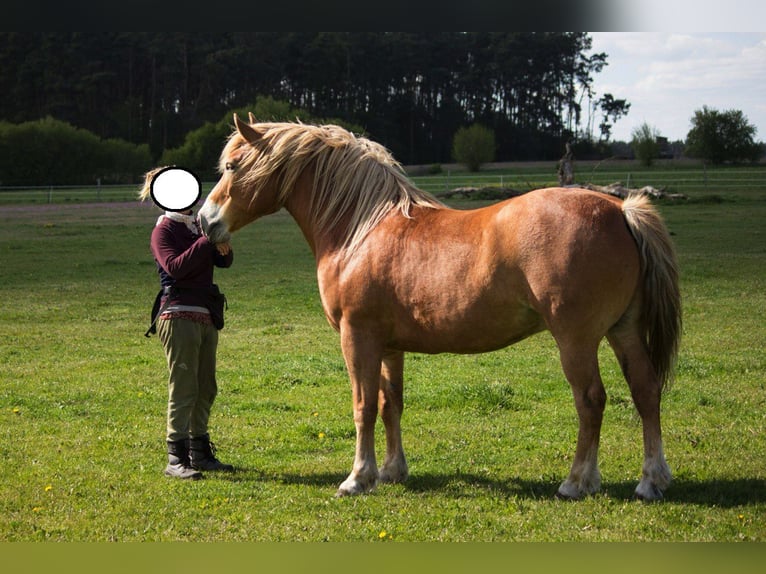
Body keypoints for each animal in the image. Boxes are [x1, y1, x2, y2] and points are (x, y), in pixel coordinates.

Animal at [198, 114, 682, 501]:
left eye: (232, 166)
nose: (205, 221)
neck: (361, 229)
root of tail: (621, 210)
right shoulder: (389, 345)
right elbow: (390, 403)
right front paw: (391, 471)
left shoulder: (357, 337)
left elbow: (362, 406)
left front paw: (357, 478)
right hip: (623, 330)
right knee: (645, 391)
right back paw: (650, 481)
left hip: (576, 340)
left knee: (591, 401)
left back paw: (577, 482)